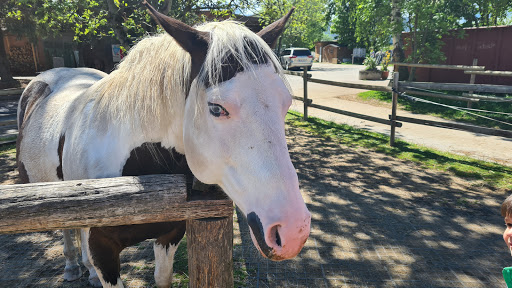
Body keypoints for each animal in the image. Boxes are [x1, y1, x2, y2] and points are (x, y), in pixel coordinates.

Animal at [16, 2, 310, 288]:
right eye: (216, 108)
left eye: (286, 103)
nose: (293, 231)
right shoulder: (102, 250)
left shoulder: (171, 233)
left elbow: (162, 277)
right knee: (67, 231)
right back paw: (72, 268)